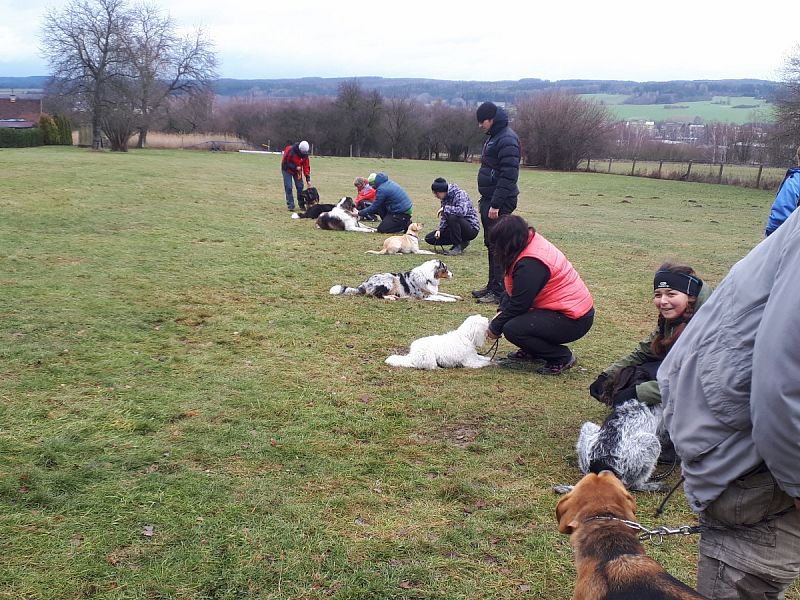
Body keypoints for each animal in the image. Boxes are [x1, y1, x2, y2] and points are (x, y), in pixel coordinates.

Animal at [326, 258, 460, 302]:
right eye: (446, 269)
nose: (453, 274)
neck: (428, 277)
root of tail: (363, 284)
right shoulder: (424, 296)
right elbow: (441, 297)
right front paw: (451, 300)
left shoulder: (433, 291)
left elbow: (445, 293)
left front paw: (457, 297)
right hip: (389, 281)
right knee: (376, 295)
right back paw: (391, 297)